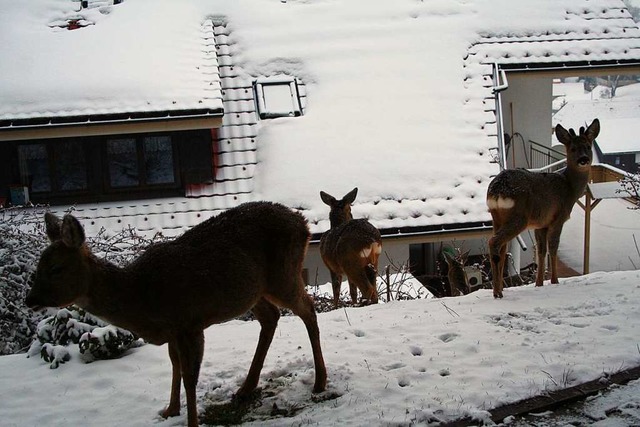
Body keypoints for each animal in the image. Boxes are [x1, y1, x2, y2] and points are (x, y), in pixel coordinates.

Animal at [23, 203, 324, 427]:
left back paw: (319, 382)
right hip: (253, 291)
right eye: (39, 264)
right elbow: (174, 365)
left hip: (283, 274)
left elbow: (190, 376)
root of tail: (304, 224)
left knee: (308, 309)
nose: (30, 299)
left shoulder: (190, 323)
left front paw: (191, 420)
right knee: (271, 317)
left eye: (56, 268)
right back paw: (246, 388)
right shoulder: (174, 331)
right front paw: (170, 410)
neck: (141, 299)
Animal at [488, 118, 596, 300]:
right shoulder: (558, 218)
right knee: (494, 243)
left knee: (501, 250)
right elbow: (553, 248)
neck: (570, 188)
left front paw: (539, 283)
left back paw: (498, 290)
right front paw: (554, 281)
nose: (583, 159)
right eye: (572, 148)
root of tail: (496, 191)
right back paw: (497, 292)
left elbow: (540, 251)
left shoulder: (540, 224)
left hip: (497, 219)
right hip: (518, 218)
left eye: (588, 146)